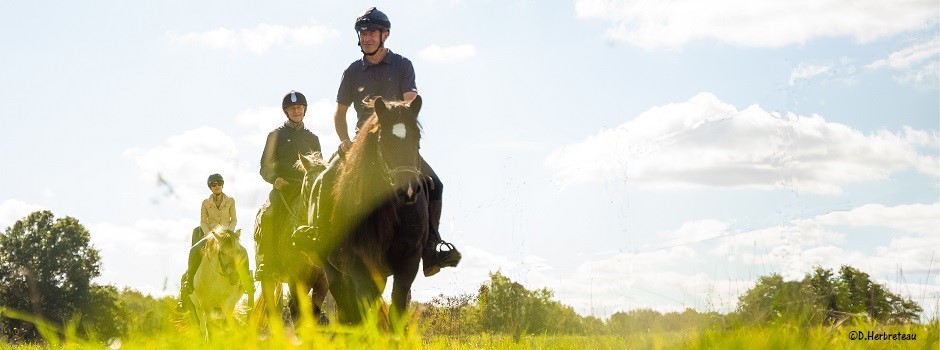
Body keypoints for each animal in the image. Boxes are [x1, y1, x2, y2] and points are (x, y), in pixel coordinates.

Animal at [296, 95, 428, 326]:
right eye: (383, 140)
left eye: (417, 137)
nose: (409, 190)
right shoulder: (359, 260)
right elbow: (363, 305)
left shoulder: (409, 261)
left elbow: (398, 306)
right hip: (333, 270)